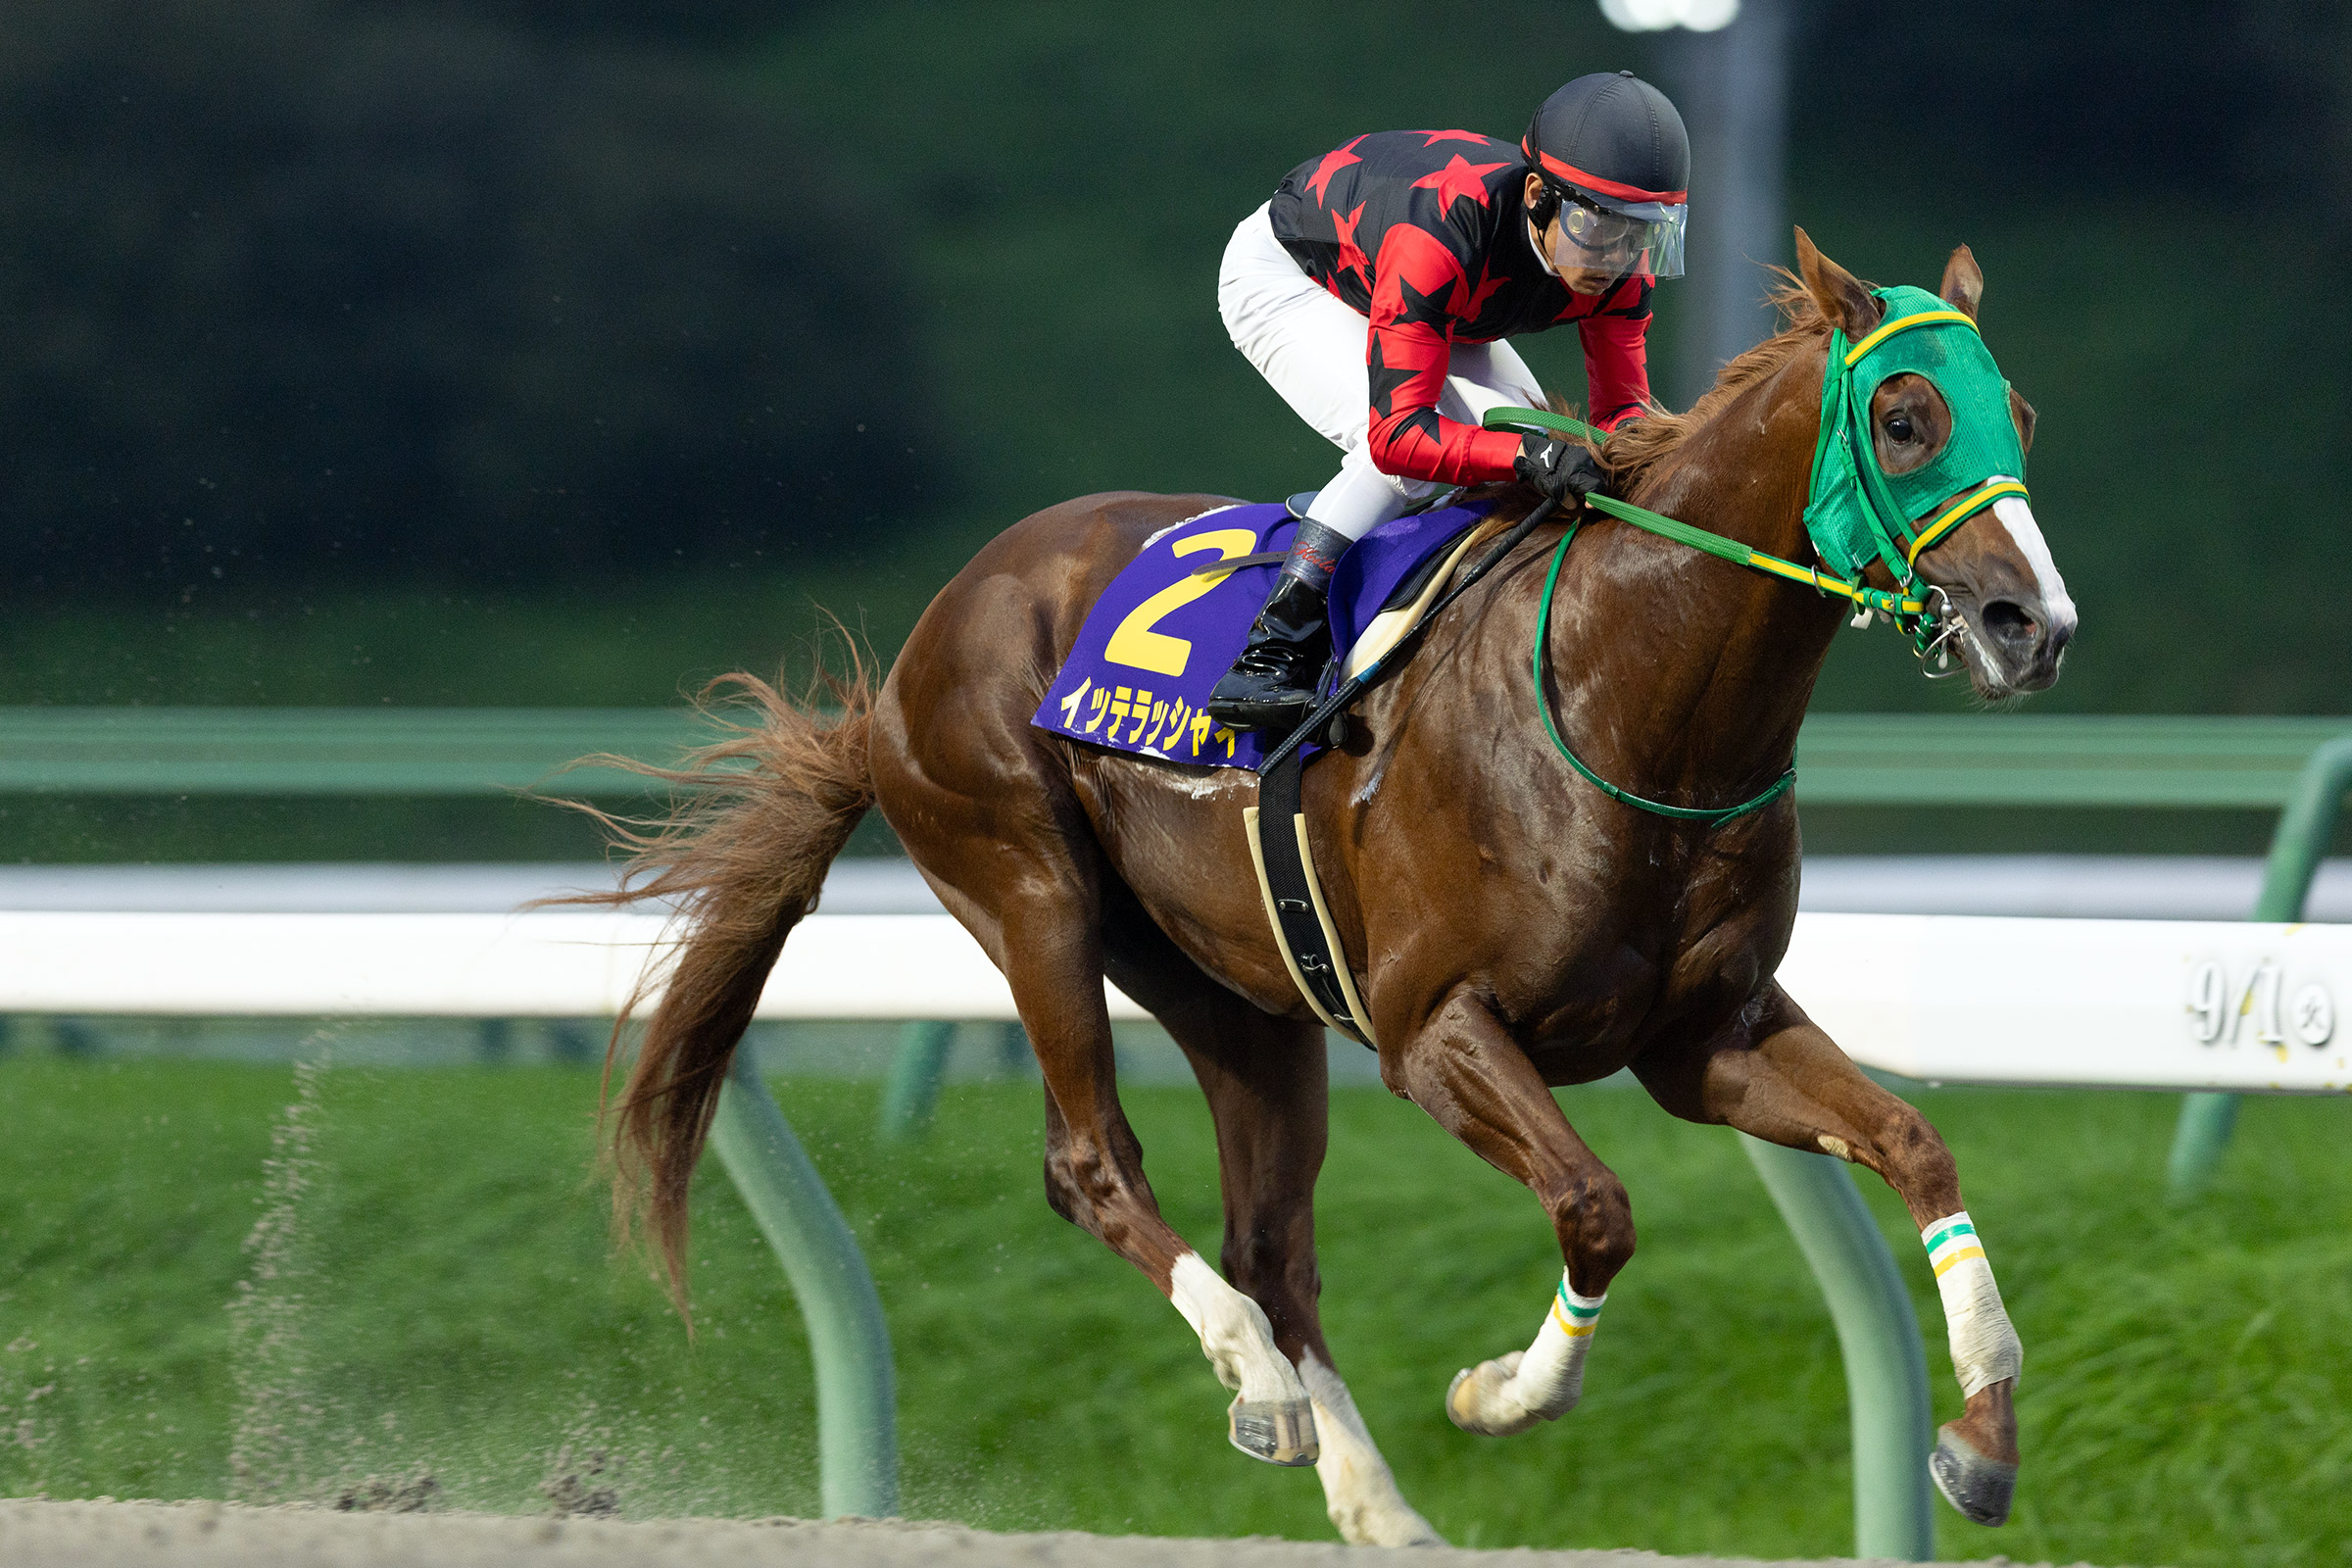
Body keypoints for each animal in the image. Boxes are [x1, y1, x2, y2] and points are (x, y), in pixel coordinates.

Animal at [582, 230, 2075, 1547]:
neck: (1629, 690)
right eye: (1905, 416)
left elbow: (1915, 1144)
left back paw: (1378, 1502)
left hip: (1239, 997)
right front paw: (1501, 1394)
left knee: (1270, 1244)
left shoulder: (1705, 1036)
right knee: (1093, 1163)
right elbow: (1598, 1206)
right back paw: (1258, 1384)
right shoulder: (1435, 1029)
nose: (2033, 626)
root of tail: (909, 658)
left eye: (2020, 412)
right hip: (1028, 891)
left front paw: (1982, 1441)